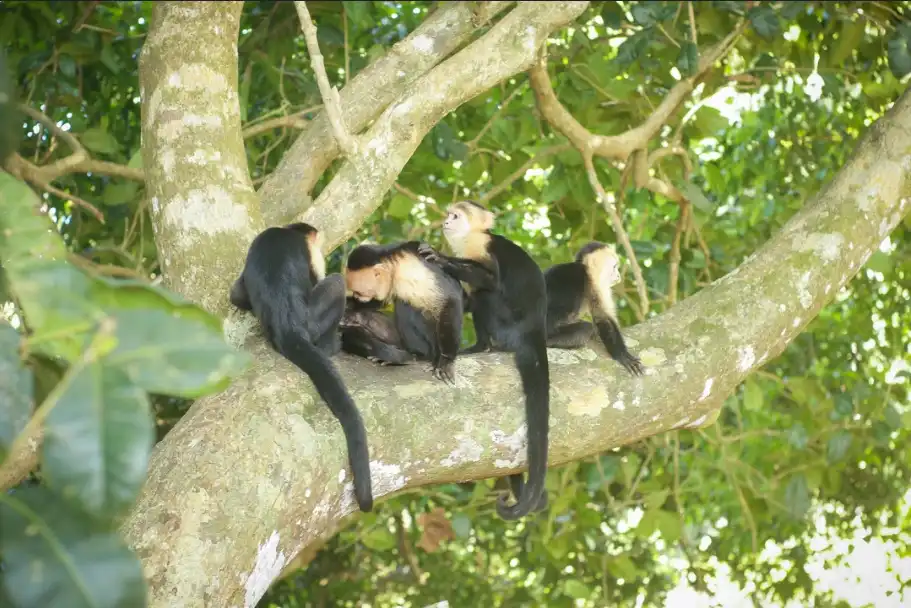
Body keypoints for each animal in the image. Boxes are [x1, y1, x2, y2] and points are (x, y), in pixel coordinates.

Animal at [346, 242, 466, 384]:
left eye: (359, 292)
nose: (356, 297)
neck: (392, 264)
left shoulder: (409, 272)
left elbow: (449, 299)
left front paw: (447, 360)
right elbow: (378, 302)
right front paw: (348, 310)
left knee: (405, 303)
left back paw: (416, 356)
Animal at [416, 200, 552, 516]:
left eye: (455, 215)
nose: (446, 222)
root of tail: (534, 330)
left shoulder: (480, 245)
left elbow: (489, 279)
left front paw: (440, 259)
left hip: (508, 325)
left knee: (484, 295)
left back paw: (482, 346)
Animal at [544, 241, 644, 376]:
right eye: (614, 267)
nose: (618, 276)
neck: (586, 271)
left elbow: (602, 318)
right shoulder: (594, 283)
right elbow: (602, 318)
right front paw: (622, 355)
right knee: (583, 328)